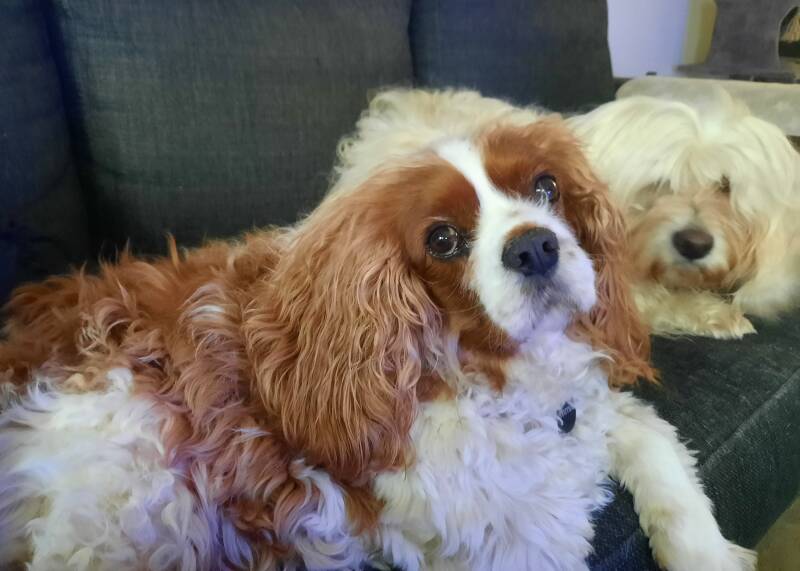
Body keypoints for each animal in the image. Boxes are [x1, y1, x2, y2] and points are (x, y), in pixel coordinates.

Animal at [0, 88, 754, 570]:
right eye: (443, 239)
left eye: (546, 188)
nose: (535, 246)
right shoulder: (513, 545)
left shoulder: (593, 409)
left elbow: (661, 452)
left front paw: (709, 552)